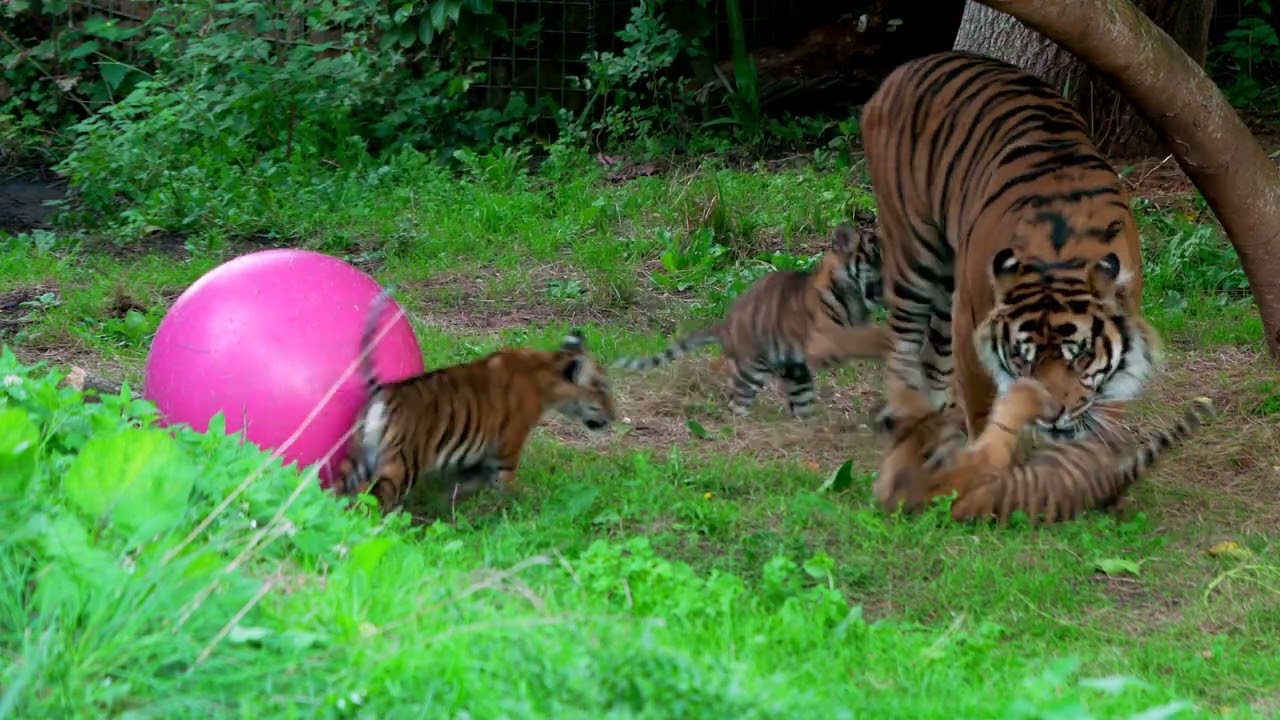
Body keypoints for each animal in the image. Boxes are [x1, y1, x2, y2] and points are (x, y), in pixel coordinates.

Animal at [335, 289, 617, 512]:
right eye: (603, 389)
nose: (614, 417)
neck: (546, 369)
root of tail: (385, 391)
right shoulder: (507, 446)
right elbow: (505, 483)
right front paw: (517, 510)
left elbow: (466, 483)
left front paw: (447, 501)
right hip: (403, 463)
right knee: (374, 496)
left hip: (357, 457)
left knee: (336, 490)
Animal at [611, 217, 886, 419]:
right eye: (875, 256)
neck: (855, 297)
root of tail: (725, 324)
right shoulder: (824, 337)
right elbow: (863, 338)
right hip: (752, 370)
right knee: (736, 400)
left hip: (796, 376)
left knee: (801, 407)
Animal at [859, 50, 1161, 445]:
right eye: (1022, 356)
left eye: (1080, 357)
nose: (1051, 415)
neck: (1059, 257)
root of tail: (904, 68)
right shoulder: (971, 325)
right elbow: (985, 408)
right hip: (914, 252)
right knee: (903, 337)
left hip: (947, 279)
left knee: (933, 351)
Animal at [873, 377, 1214, 525]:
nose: (954, 415)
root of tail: (1118, 478)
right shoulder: (988, 454)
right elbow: (1006, 415)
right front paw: (1028, 389)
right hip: (1086, 447)